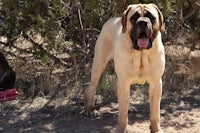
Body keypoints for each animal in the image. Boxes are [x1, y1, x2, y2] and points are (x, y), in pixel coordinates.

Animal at [85, 3, 165, 132]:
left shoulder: (156, 83)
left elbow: (155, 112)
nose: (143, 22)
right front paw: (121, 129)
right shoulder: (124, 81)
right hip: (99, 64)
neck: (141, 54)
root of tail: (112, 19)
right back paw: (90, 109)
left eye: (151, 17)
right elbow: (122, 114)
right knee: (92, 87)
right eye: (134, 17)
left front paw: (156, 129)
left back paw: (130, 107)